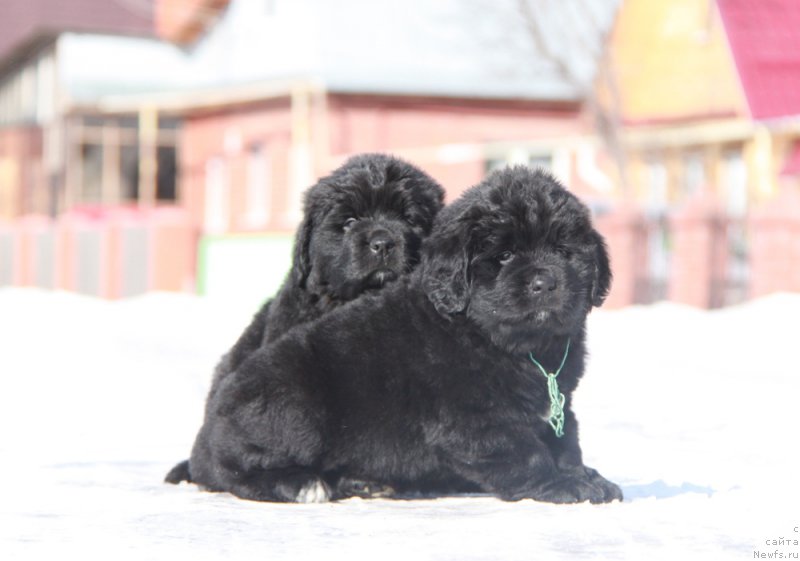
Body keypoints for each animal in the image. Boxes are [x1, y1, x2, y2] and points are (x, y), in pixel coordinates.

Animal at [183, 167, 624, 504]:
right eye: (504, 256)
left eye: (565, 252)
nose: (545, 281)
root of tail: (205, 431)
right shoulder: (474, 419)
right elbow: (527, 453)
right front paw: (566, 485)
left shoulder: (559, 403)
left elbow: (566, 441)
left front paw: (587, 476)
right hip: (293, 407)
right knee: (232, 471)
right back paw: (303, 484)